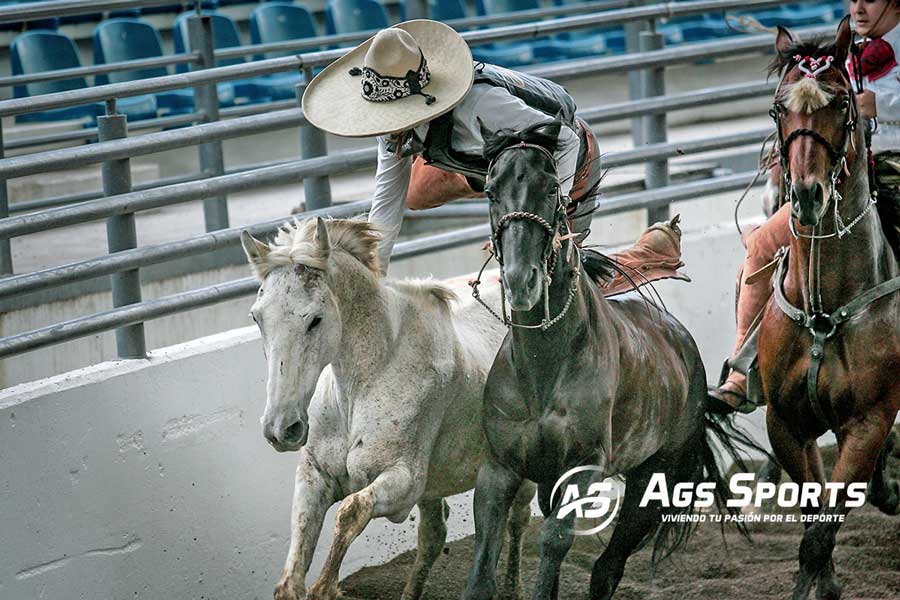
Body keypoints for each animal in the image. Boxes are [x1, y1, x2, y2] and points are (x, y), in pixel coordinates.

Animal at [239, 219, 536, 600]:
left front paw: (326, 587)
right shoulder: (314, 476)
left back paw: (514, 587)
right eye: (257, 317)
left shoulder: (402, 483)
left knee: (517, 520)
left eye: (315, 320)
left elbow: (351, 510)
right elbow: (293, 568)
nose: (281, 427)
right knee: (433, 537)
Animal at [460, 122, 748, 600]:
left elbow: (555, 542)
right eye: (489, 190)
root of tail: (688, 354)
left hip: (654, 484)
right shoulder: (499, 470)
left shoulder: (582, 467)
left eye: (551, 187)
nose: (520, 281)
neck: (544, 369)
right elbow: (482, 570)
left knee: (607, 568)